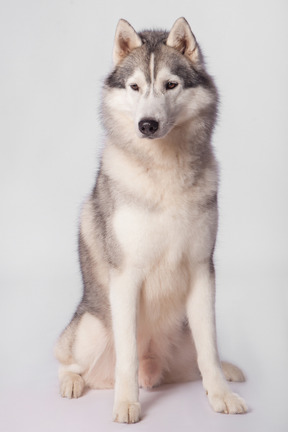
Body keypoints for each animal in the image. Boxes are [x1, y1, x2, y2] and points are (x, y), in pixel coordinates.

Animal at [54, 16, 248, 422]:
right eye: (135, 87)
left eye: (170, 85)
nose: (147, 124)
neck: (164, 173)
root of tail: (154, 368)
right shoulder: (127, 276)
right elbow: (126, 356)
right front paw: (126, 403)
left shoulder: (202, 270)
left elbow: (210, 352)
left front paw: (221, 396)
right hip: (91, 328)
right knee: (68, 360)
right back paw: (73, 383)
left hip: (183, 339)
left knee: (200, 362)